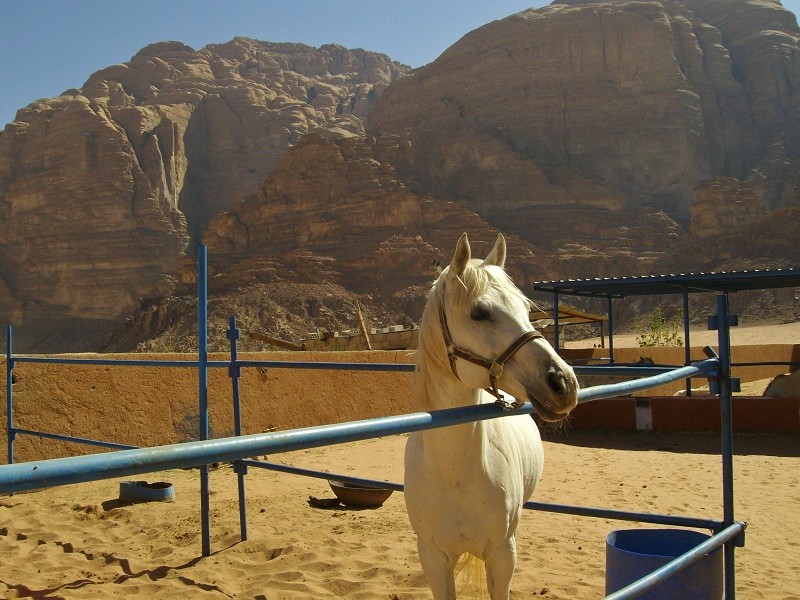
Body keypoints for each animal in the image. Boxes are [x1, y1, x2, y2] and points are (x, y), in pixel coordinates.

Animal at [404, 234, 580, 600]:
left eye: (526, 310)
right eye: (479, 313)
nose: (564, 383)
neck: (453, 472)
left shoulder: (501, 555)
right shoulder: (433, 558)